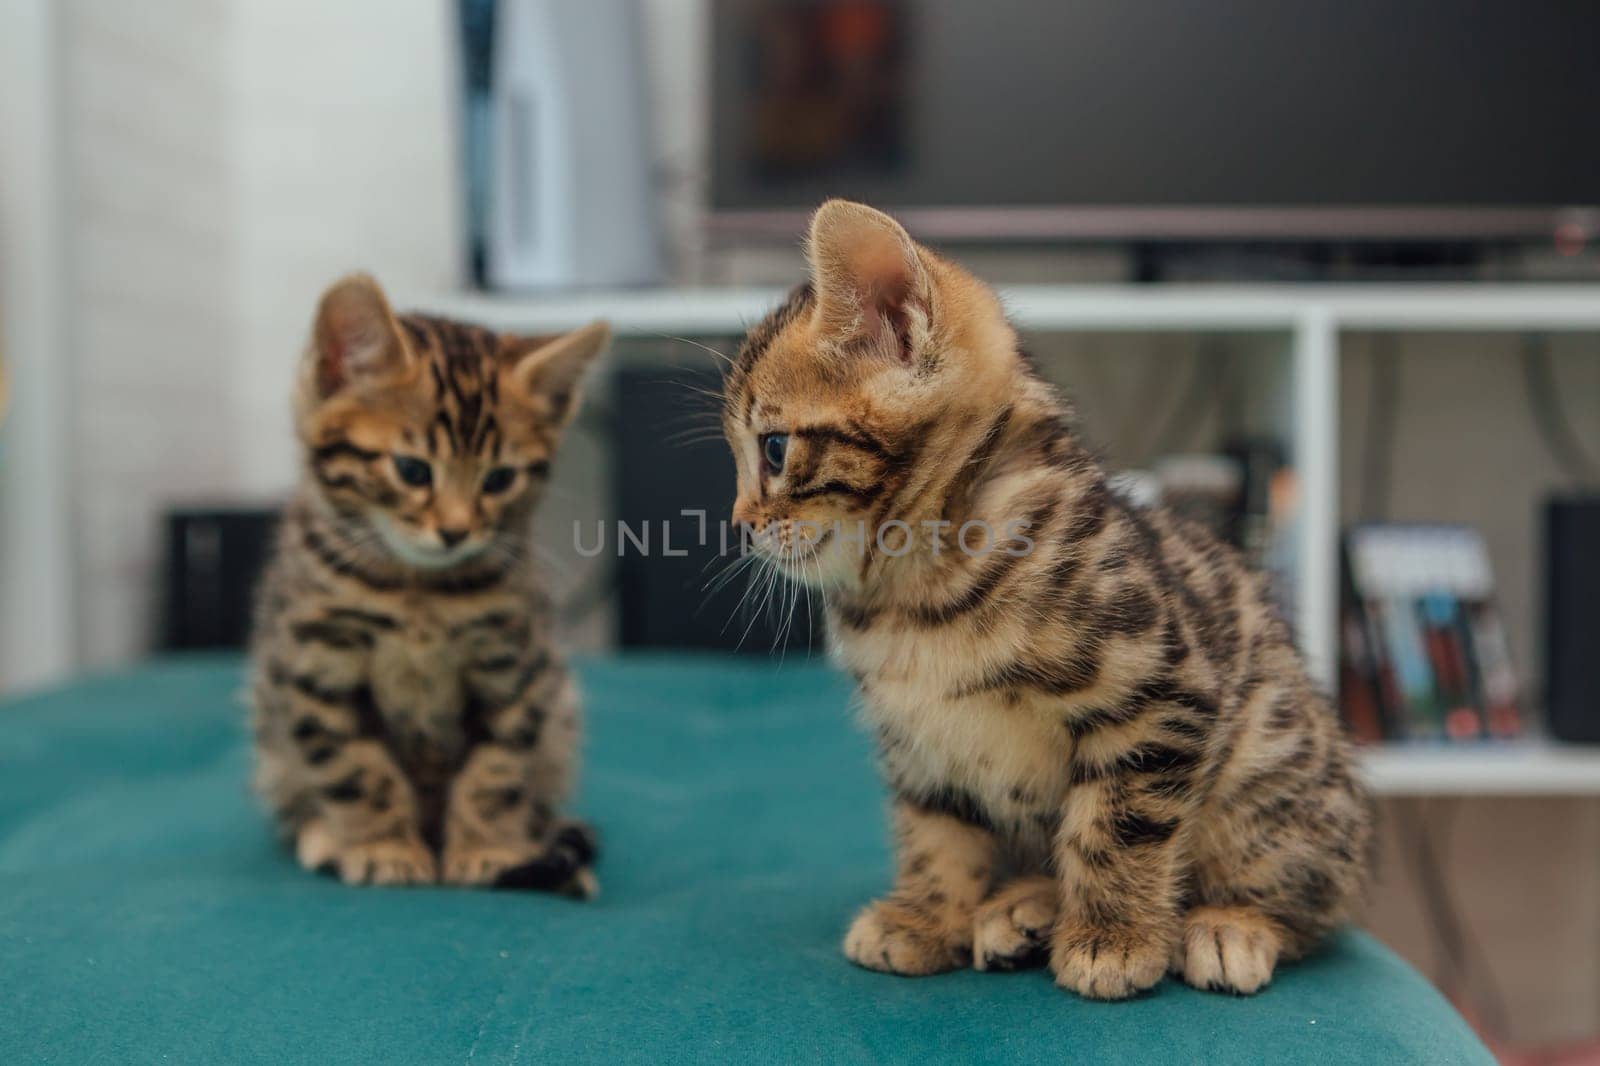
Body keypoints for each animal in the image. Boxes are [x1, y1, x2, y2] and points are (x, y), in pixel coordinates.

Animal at [249, 272, 604, 889]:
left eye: (499, 479)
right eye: (412, 470)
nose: (456, 531)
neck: (417, 590)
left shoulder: (516, 666)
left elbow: (497, 768)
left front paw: (488, 846)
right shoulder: (314, 667)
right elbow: (355, 770)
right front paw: (383, 845)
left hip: (561, 713)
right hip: (270, 733)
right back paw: (323, 836)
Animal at [720, 199, 1369, 998]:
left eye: (774, 450)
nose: (739, 527)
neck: (914, 591)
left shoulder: (1157, 697)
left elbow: (1114, 826)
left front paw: (1114, 938)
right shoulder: (920, 745)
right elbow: (935, 832)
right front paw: (927, 916)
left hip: (1270, 772)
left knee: (1314, 893)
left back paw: (1229, 925)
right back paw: (1021, 907)